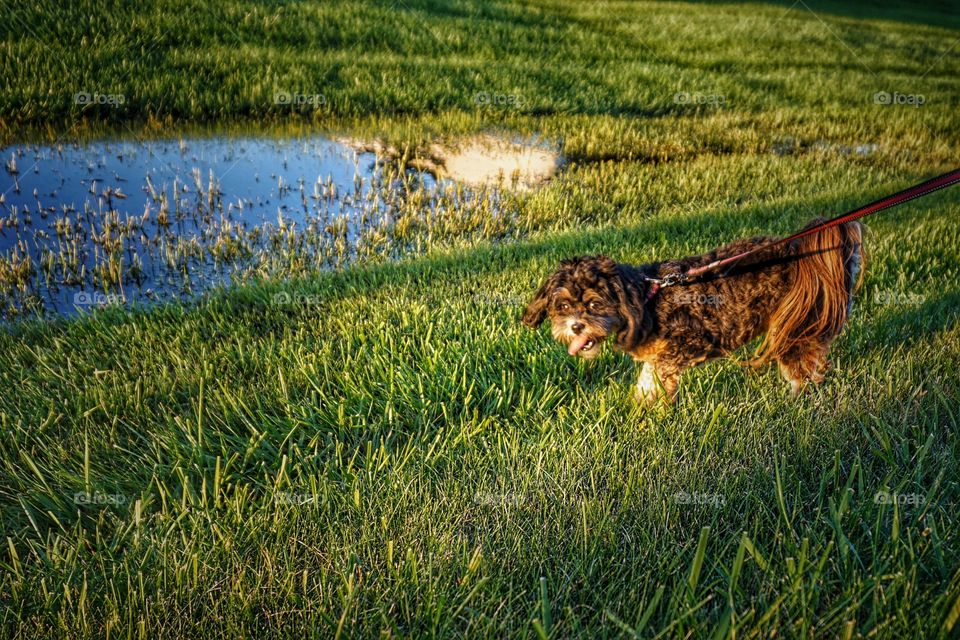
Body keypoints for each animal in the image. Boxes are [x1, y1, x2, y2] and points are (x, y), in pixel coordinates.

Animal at [520, 219, 868, 400]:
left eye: (594, 303)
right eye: (563, 306)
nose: (576, 326)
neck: (646, 300)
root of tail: (798, 249)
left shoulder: (688, 343)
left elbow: (661, 374)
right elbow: (648, 377)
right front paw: (642, 404)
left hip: (800, 322)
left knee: (802, 366)